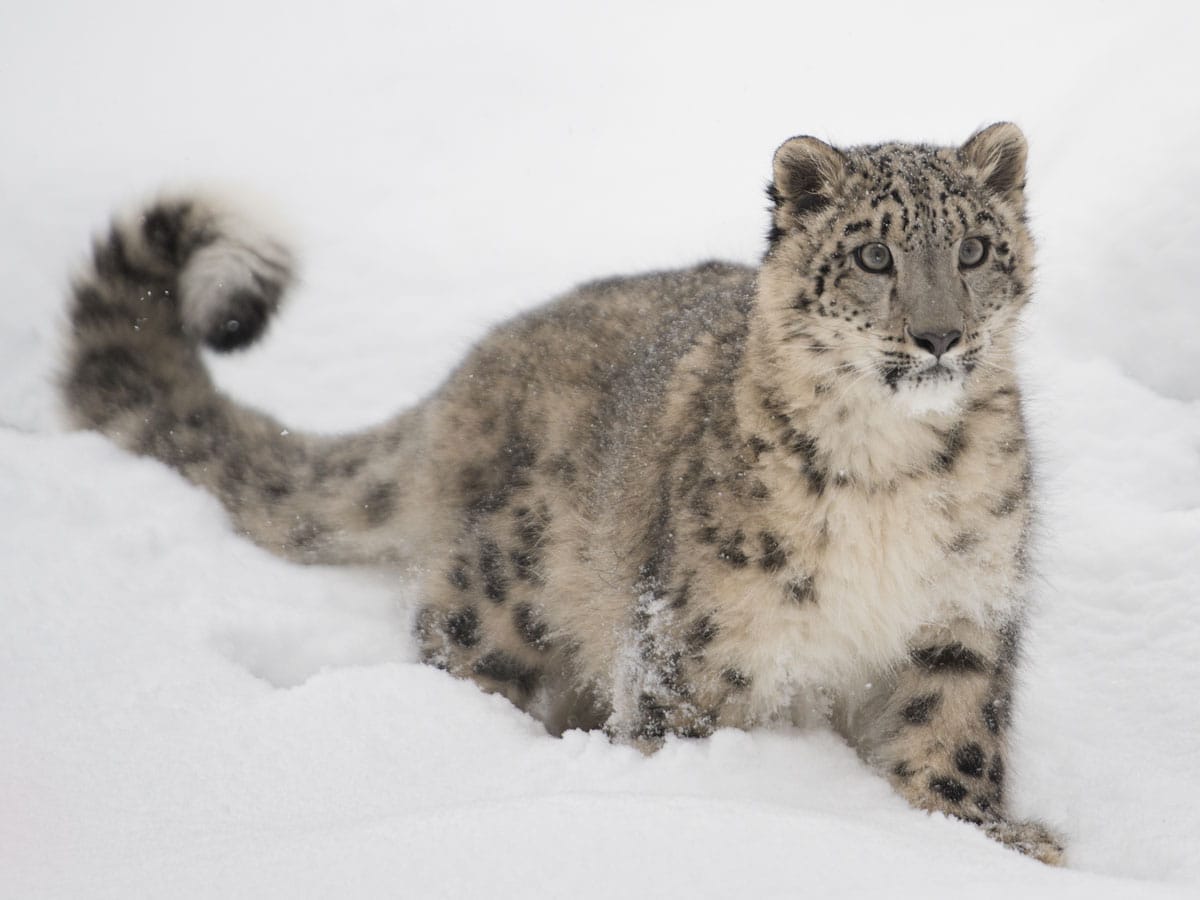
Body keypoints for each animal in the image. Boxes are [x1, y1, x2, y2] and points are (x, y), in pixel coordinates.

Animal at [61, 122, 1063, 864]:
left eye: (975, 248)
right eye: (873, 255)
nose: (939, 336)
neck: (891, 476)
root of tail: (470, 374)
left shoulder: (962, 617)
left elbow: (953, 739)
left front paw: (987, 841)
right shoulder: (700, 648)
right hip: (513, 578)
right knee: (456, 639)